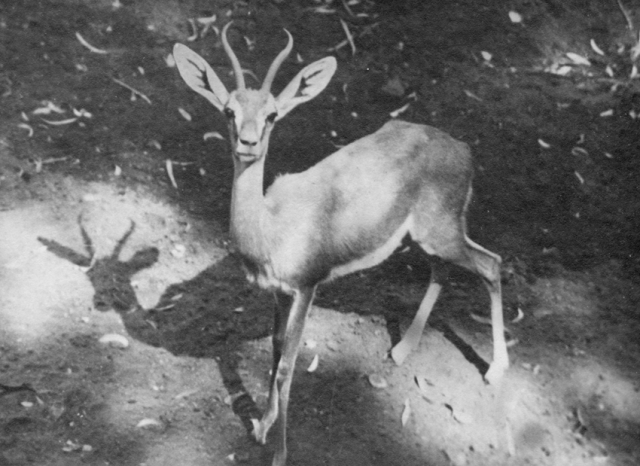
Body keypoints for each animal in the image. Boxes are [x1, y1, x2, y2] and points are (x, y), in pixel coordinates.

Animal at [173, 22, 509, 466]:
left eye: (272, 115)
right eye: (229, 110)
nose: (247, 143)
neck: (271, 228)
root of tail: (462, 148)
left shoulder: (307, 287)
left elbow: (288, 365)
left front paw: (279, 453)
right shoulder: (279, 293)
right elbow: (275, 351)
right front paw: (262, 428)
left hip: (442, 232)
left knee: (491, 264)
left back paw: (494, 370)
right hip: (426, 236)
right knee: (442, 268)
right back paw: (402, 349)